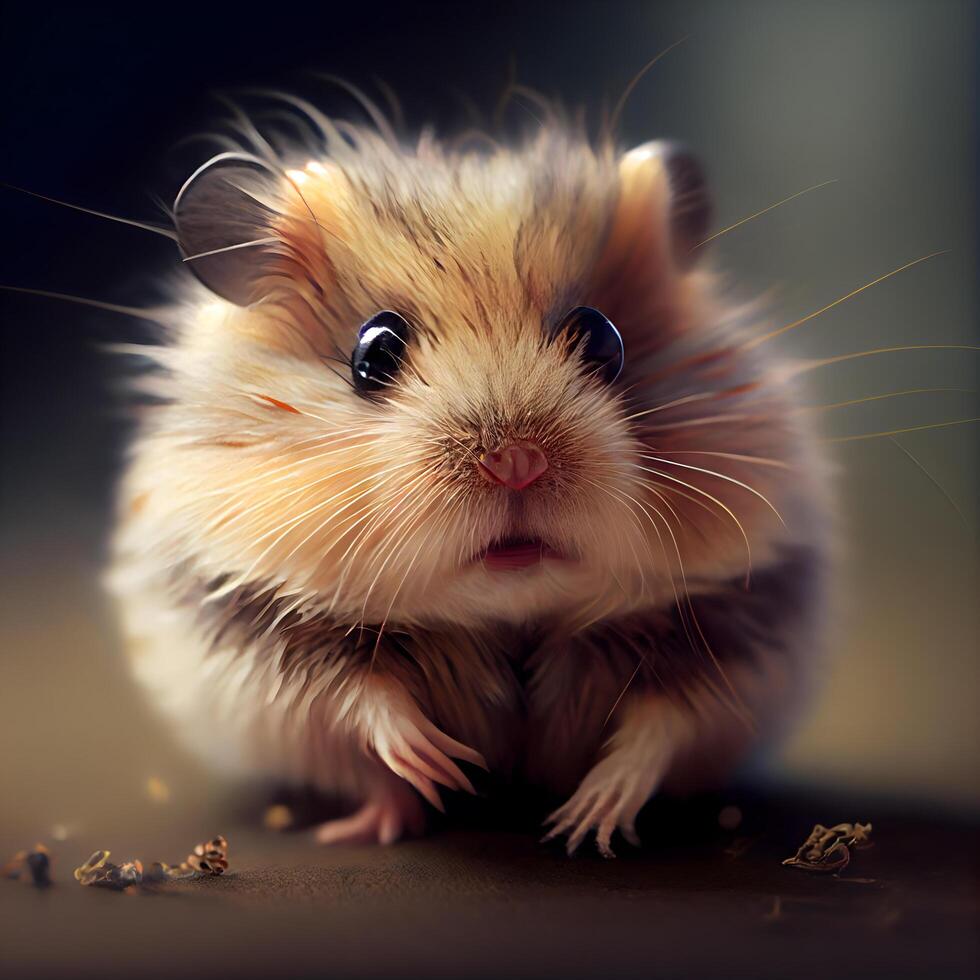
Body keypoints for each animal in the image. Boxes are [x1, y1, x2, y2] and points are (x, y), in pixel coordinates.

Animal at [105, 109, 828, 856]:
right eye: (373, 352)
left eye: (605, 340)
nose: (516, 462)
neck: (507, 613)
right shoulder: (256, 638)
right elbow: (360, 698)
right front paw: (443, 762)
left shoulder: (737, 632)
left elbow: (662, 723)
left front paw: (583, 820)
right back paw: (376, 822)